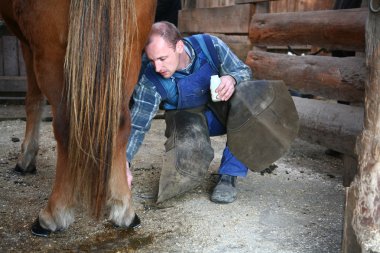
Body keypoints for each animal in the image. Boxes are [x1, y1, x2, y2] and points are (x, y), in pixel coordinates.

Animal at [0, 0, 157, 237]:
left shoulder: (27, 44)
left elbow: (33, 99)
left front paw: (26, 158)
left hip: (52, 53)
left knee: (66, 125)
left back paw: (53, 213)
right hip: (129, 50)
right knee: (120, 122)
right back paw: (123, 209)